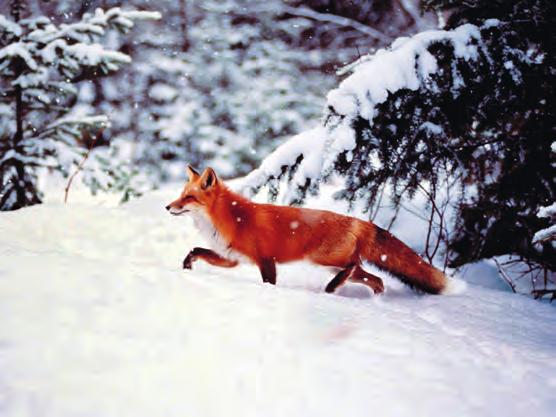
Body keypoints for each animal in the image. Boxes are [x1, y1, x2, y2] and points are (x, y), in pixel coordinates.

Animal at [165, 164, 448, 294]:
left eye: (189, 197)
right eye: (181, 195)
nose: (168, 206)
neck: (233, 218)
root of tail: (357, 220)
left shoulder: (266, 260)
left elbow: (269, 283)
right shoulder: (232, 258)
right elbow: (196, 250)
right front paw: (186, 266)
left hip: (323, 259)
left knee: (354, 267)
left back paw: (333, 288)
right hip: (334, 263)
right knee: (375, 279)